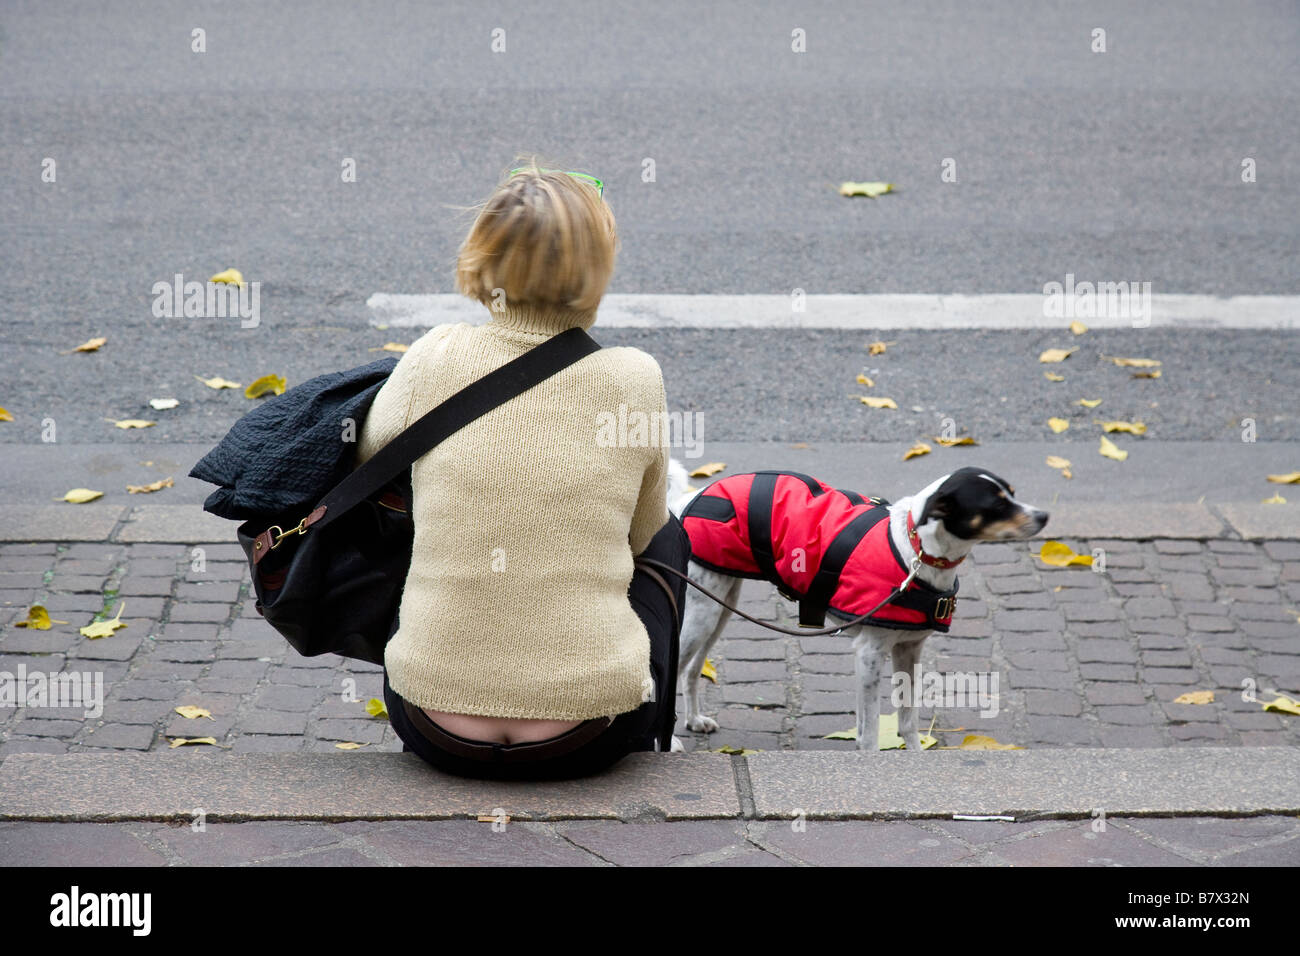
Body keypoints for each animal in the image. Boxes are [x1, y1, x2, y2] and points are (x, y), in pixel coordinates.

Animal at [665, 463, 1050, 754]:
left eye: (1012, 492)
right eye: (996, 506)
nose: (1045, 515)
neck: (915, 553)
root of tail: (688, 500)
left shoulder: (908, 651)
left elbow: (907, 722)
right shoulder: (869, 653)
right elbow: (870, 732)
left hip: (721, 608)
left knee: (691, 671)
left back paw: (694, 720)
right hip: (701, 616)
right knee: (671, 670)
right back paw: (669, 742)